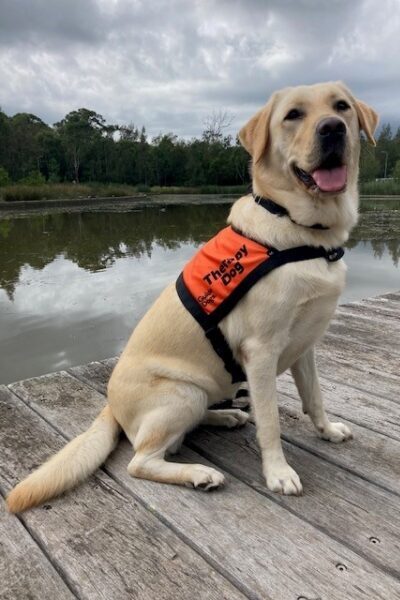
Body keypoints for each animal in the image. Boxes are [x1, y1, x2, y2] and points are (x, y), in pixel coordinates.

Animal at [8, 81, 378, 510]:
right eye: (293, 115)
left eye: (342, 106)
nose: (332, 129)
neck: (305, 232)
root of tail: (111, 408)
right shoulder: (261, 351)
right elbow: (270, 421)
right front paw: (279, 473)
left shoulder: (305, 345)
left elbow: (315, 397)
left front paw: (328, 430)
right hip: (181, 393)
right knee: (140, 461)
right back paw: (201, 473)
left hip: (200, 393)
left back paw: (227, 417)